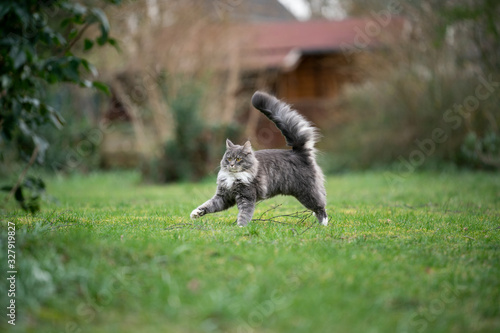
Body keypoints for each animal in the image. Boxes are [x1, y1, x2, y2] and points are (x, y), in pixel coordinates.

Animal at [190, 91, 328, 226]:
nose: (232, 165)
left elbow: (244, 214)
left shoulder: (246, 197)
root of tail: (299, 152)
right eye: (228, 159)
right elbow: (209, 205)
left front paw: (240, 227)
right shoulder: (224, 197)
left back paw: (323, 225)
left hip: (307, 193)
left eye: (238, 159)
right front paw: (196, 213)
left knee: (321, 207)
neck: (234, 177)